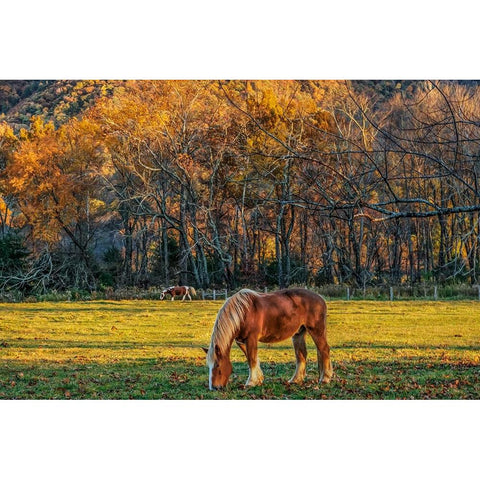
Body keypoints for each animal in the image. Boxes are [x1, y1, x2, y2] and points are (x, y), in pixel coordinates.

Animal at [203, 288, 334, 390]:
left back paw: (325, 378)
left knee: (324, 350)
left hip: (316, 330)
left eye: (218, 366)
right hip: (298, 333)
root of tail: (321, 299)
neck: (243, 312)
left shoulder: (251, 338)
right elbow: (251, 358)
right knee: (301, 355)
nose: (214, 387)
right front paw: (259, 379)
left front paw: (251, 382)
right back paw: (295, 380)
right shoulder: (241, 340)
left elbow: (252, 359)